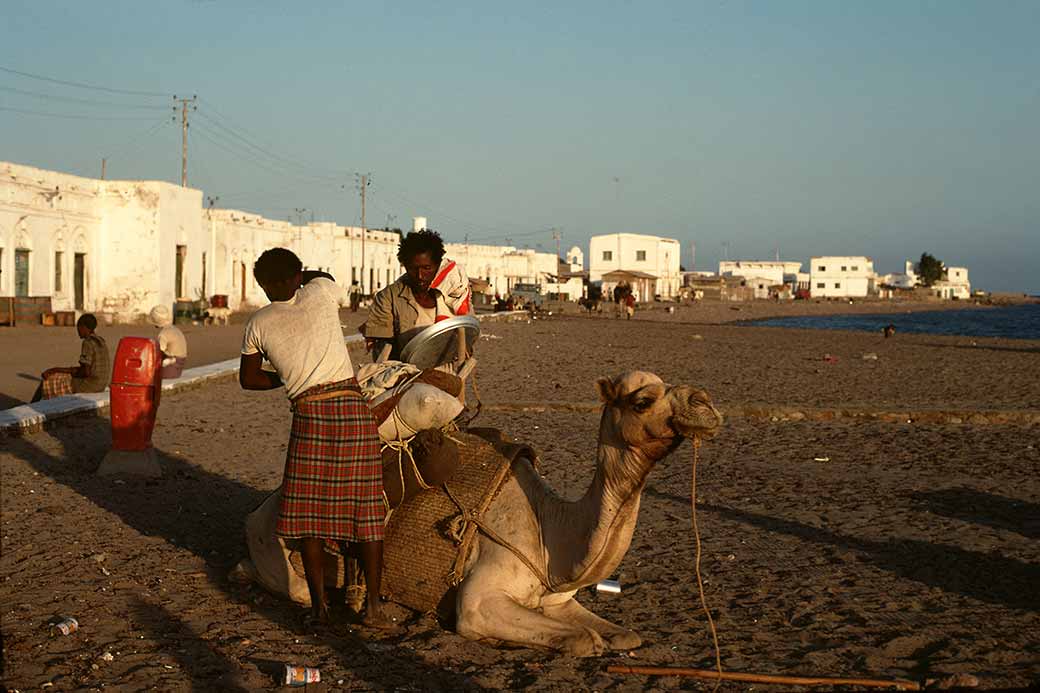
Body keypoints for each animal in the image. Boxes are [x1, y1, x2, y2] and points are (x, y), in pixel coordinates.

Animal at [238, 366, 723, 653]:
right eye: (642, 401)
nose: (705, 402)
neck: (550, 535)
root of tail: (259, 508)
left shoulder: (557, 598)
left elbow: (625, 635)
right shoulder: (477, 603)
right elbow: (585, 641)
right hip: (275, 545)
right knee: (288, 583)